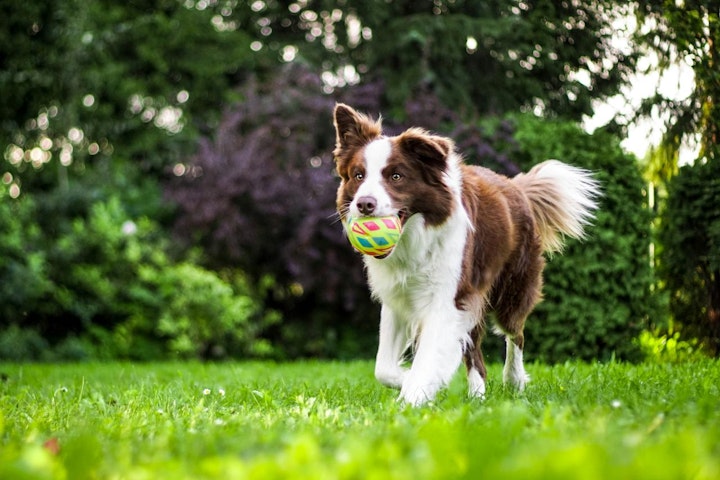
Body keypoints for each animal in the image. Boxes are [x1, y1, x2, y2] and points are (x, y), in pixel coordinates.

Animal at [330, 102, 596, 404]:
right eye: (358, 175)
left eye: (396, 176)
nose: (364, 204)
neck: (414, 239)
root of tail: (516, 186)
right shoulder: (399, 297)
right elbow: (383, 368)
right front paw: (411, 381)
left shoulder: (448, 297)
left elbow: (428, 356)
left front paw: (413, 398)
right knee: (475, 350)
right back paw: (477, 395)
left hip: (512, 287)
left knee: (515, 333)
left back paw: (514, 380)